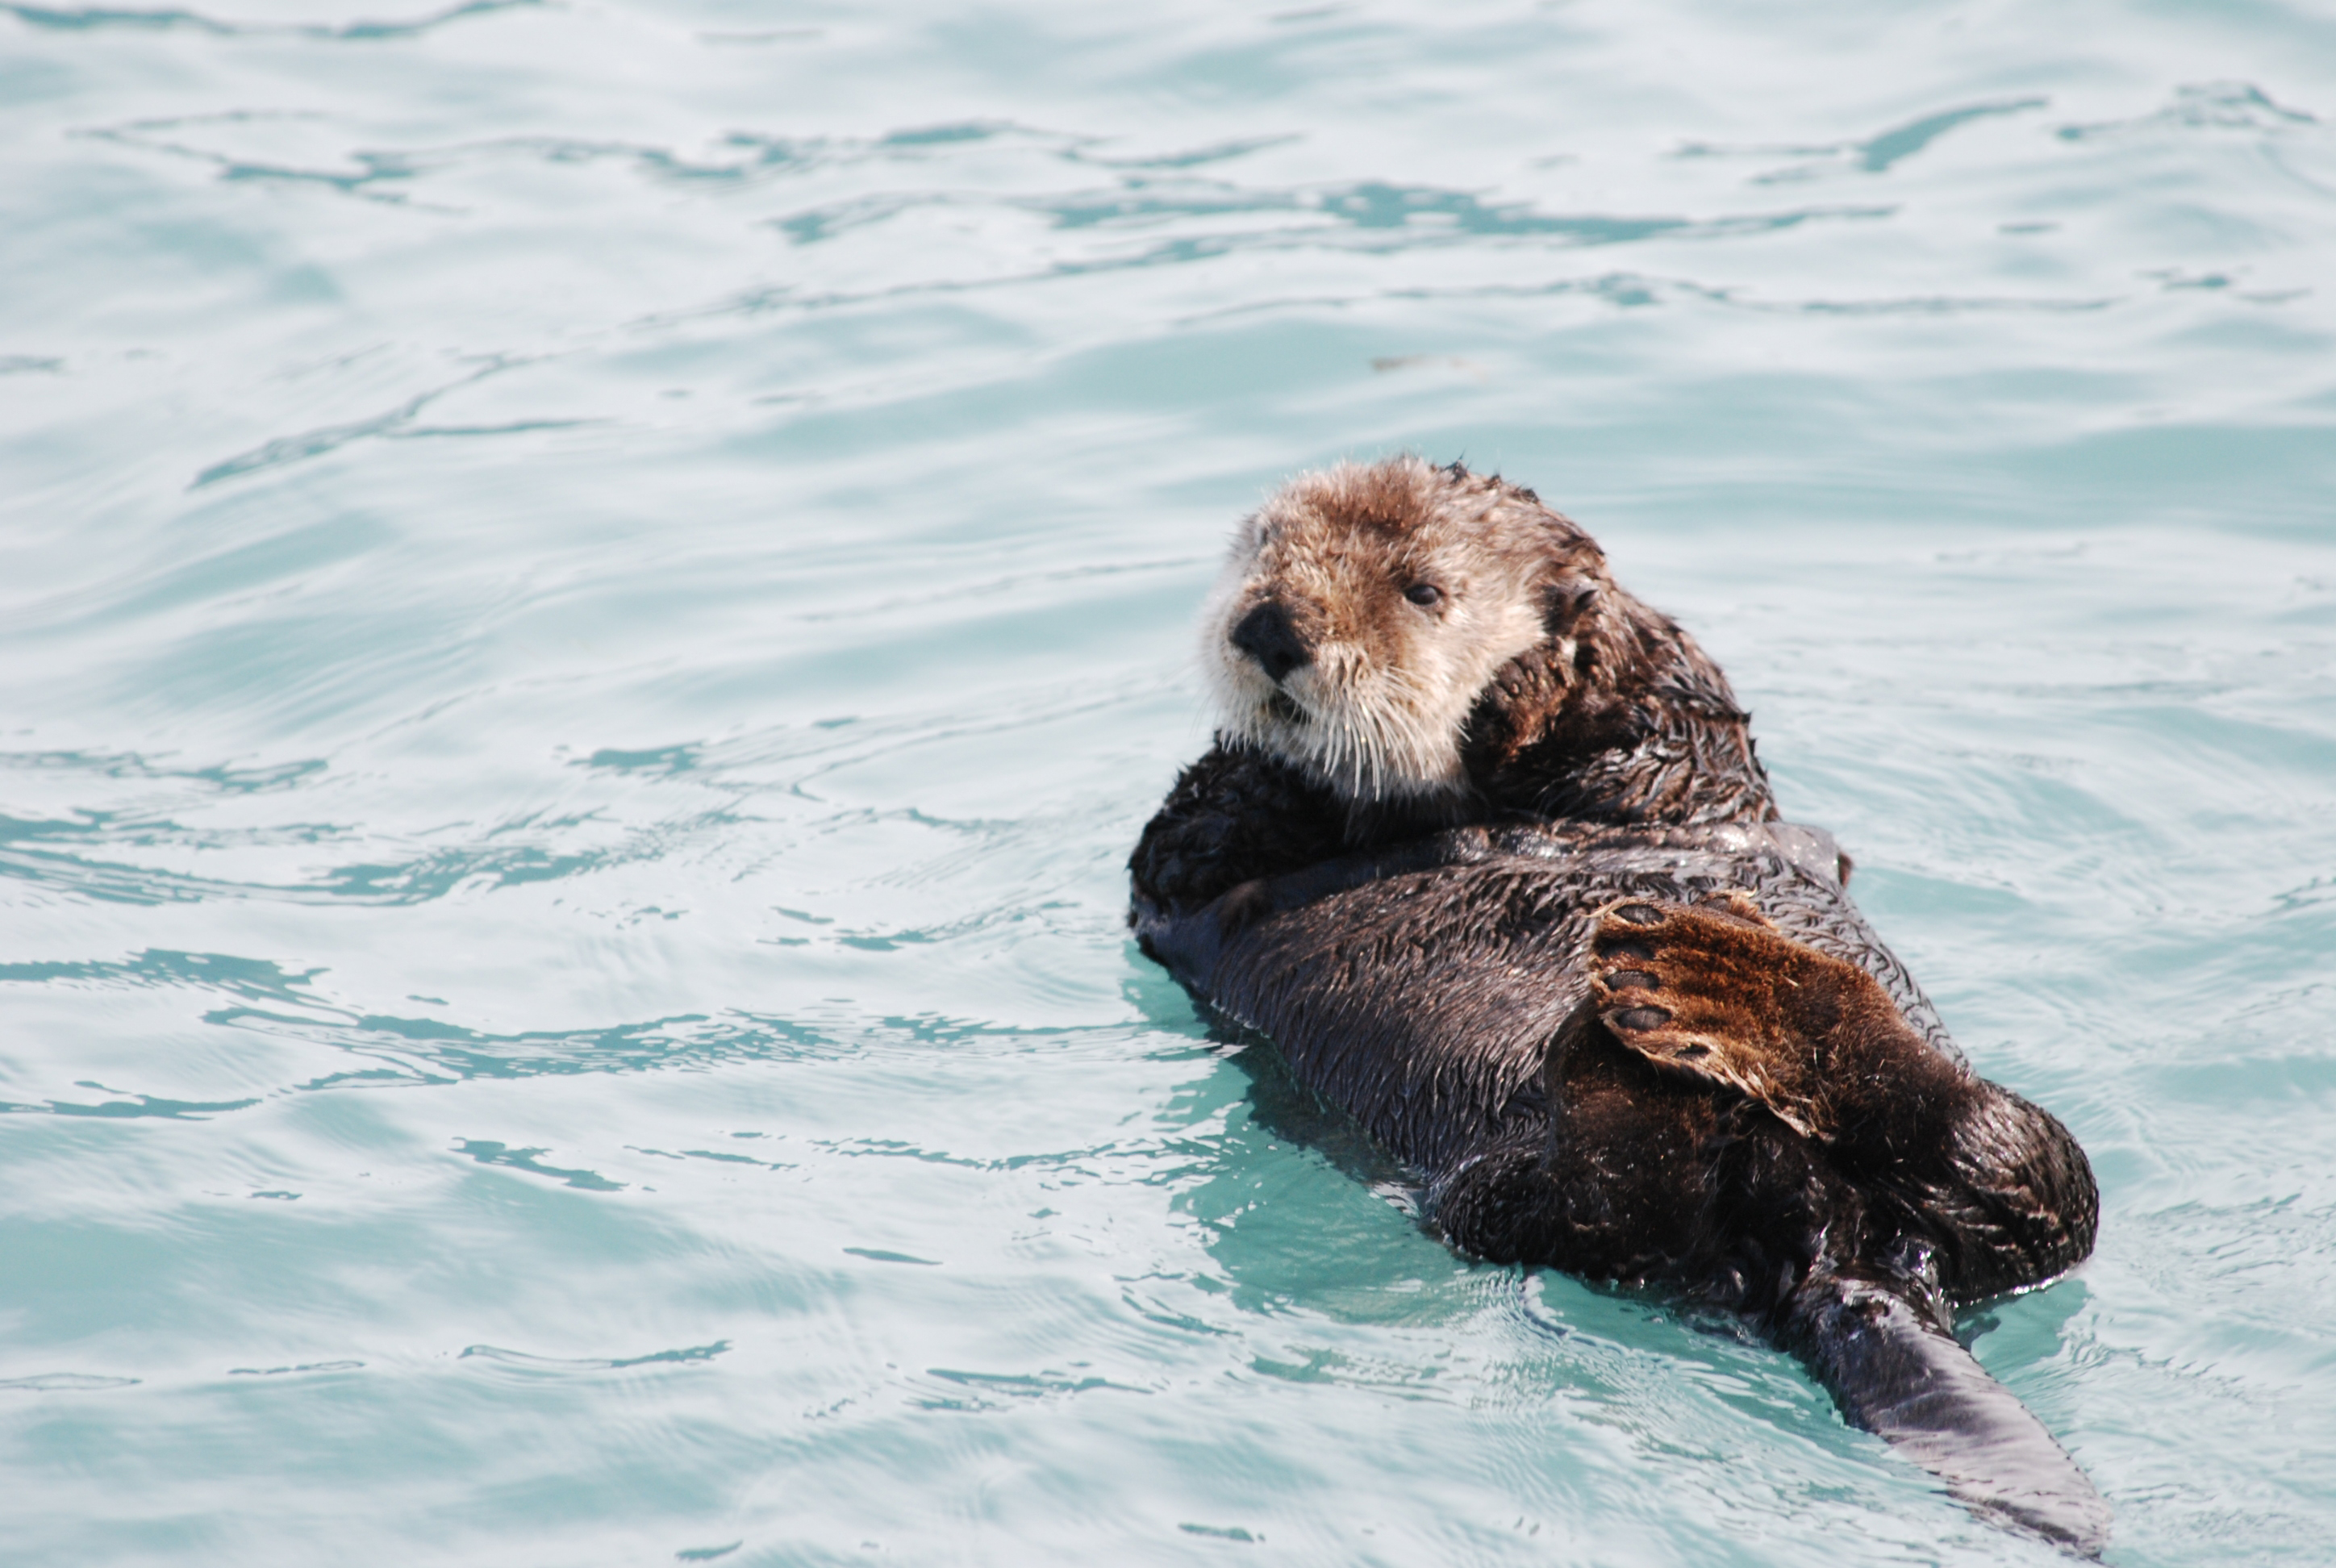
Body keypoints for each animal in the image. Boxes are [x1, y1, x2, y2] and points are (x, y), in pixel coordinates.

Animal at [1129, 457, 2108, 1552]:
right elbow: (1201, 828)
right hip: (1503, 1204)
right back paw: (1639, 1032)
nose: (1270, 626)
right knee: (1612, 1196)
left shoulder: (1686, 758)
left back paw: (1727, 989)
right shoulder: (1187, 875)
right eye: (1262, 549)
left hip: (2009, 1193)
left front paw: (1539, 662)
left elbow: (1672, 709)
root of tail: (1837, 1253)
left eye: (1424, 590)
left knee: (2009, 1157)